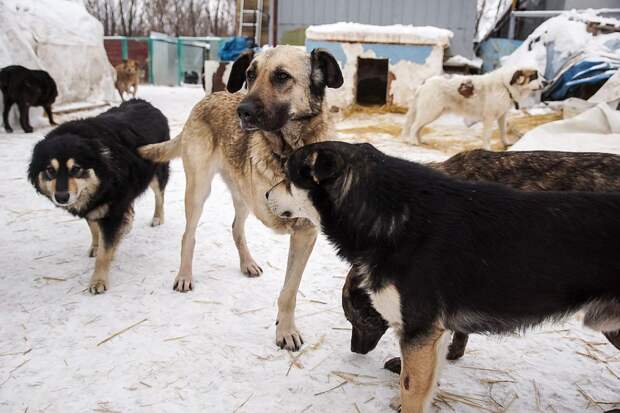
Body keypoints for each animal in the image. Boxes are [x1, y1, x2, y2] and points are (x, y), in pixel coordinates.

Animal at [29, 98, 170, 294]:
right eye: (50, 170)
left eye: (76, 169)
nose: (62, 197)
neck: (105, 170)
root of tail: (144, 102)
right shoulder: (95, 203)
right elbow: (94, 228)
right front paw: (96, 246)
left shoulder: (112, 210)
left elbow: (104, 251)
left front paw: (98, 280)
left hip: (156, 171)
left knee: (159, 196)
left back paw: (157, 218)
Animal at [139, 45, 344, 350]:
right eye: (250, 74)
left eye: (282, 76)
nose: (242, 112)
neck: (287, 151)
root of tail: (210, 96)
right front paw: (285, 331)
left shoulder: (305, 234)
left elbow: (289, 290)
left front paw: (285, 328)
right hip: (199, 190)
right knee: (189, 235)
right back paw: (184, 275)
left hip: (242, 196)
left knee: (236, 228)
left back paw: (246, 263)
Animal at [400, 67, 544, 150]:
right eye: (534, 76)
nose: (546, 82)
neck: (506, 86)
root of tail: (426, 82)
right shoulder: (489, 118)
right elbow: (487, 136)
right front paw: (487, 150)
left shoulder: (502, 116)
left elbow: (503, 132)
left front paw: (506, 144)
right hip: (430, 112)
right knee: (414, 126)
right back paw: (412, 142)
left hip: (432, 113)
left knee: (419, 127)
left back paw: (420, 141)